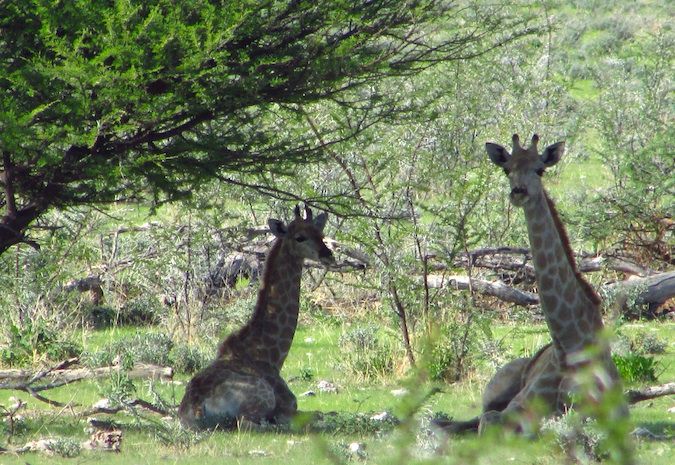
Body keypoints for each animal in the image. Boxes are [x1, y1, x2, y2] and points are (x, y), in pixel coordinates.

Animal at [180, 205, 336, 430]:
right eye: (300, 237)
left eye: (321, 235)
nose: (328, 255)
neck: (270, 356)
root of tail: (197, 408)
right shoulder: (289, 405)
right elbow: (317, 415)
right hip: (261, 398)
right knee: (248, 424)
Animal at [436, 132, 624, 434]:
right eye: (507, 169)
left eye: (540, 169)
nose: (519, 192)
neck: (567, 344)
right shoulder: (519, 407)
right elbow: (493, 423)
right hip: (497, 386)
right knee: (472, 417)